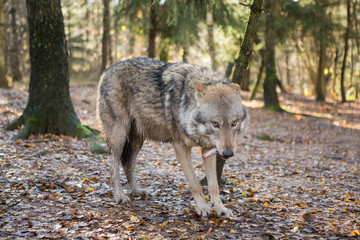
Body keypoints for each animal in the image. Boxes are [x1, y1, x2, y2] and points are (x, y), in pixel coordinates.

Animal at [96, 57, 250, 218]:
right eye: (215, 124)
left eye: (234, 123)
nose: (228, 153)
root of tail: (107, 70)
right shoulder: (181, 147)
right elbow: (195, 183)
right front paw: (202, 207)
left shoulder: (208, 149)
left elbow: (214, 185)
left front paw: (220, 208)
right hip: (120, 136)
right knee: (113, 167)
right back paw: (119, 196)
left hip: (138, 141)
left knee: (128, 164)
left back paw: (137, 191)